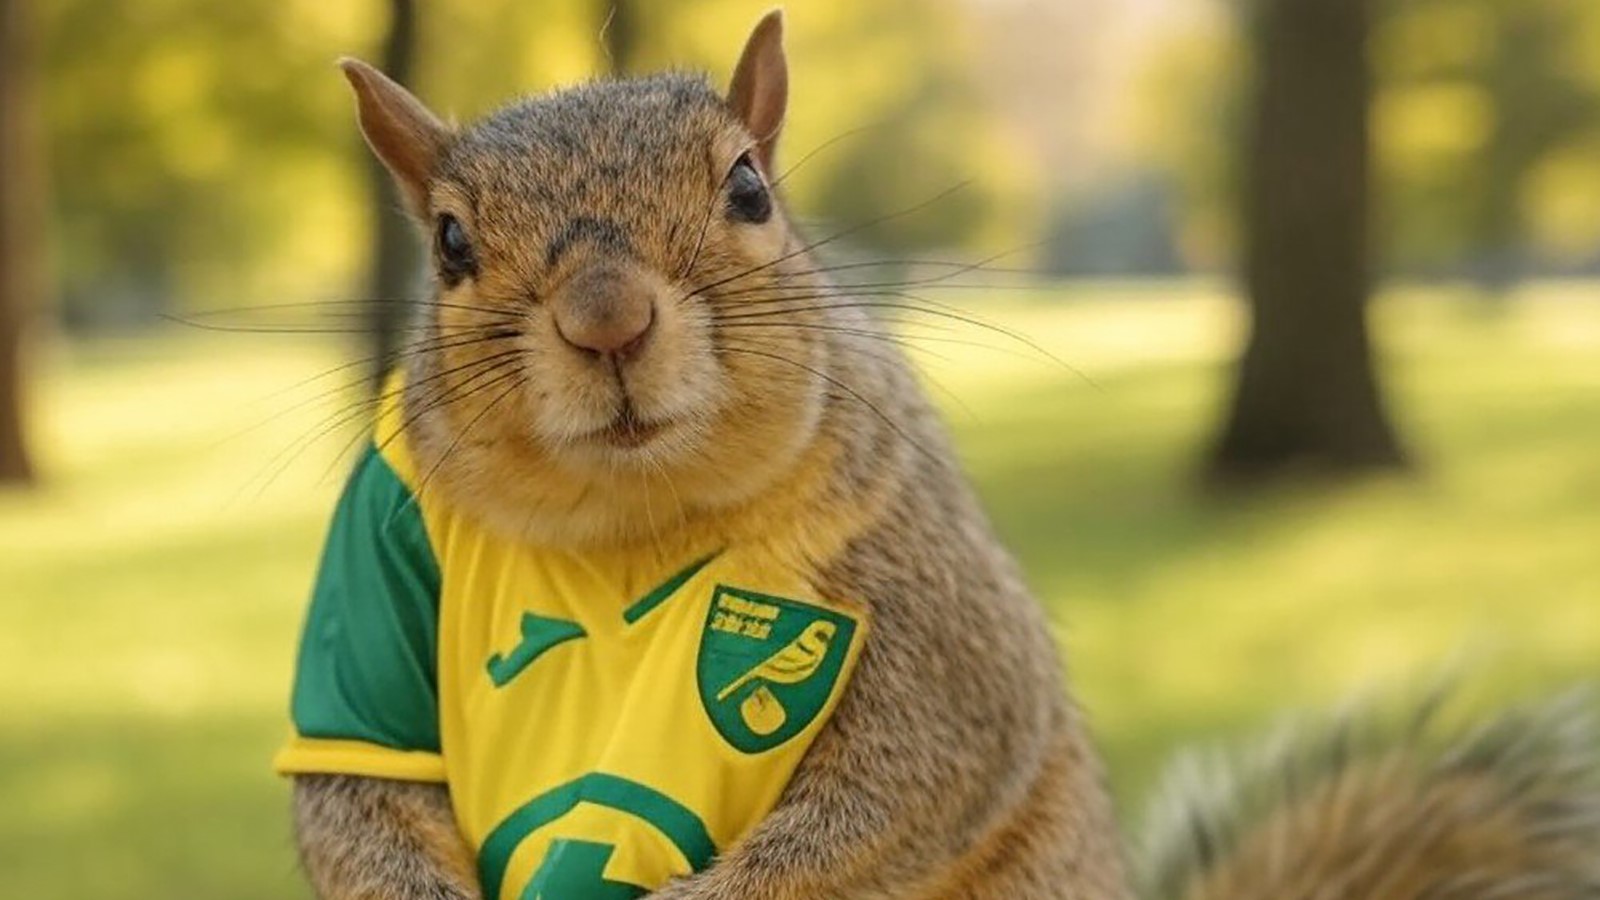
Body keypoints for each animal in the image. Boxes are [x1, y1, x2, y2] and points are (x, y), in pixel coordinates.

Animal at [276, 10, 1600, 900]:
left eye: (749, 188)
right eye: (448, 244)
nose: (607, 320)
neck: (630, 522)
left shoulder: (914, 554)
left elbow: (924, 765)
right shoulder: (377, 565)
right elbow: (359, 798)